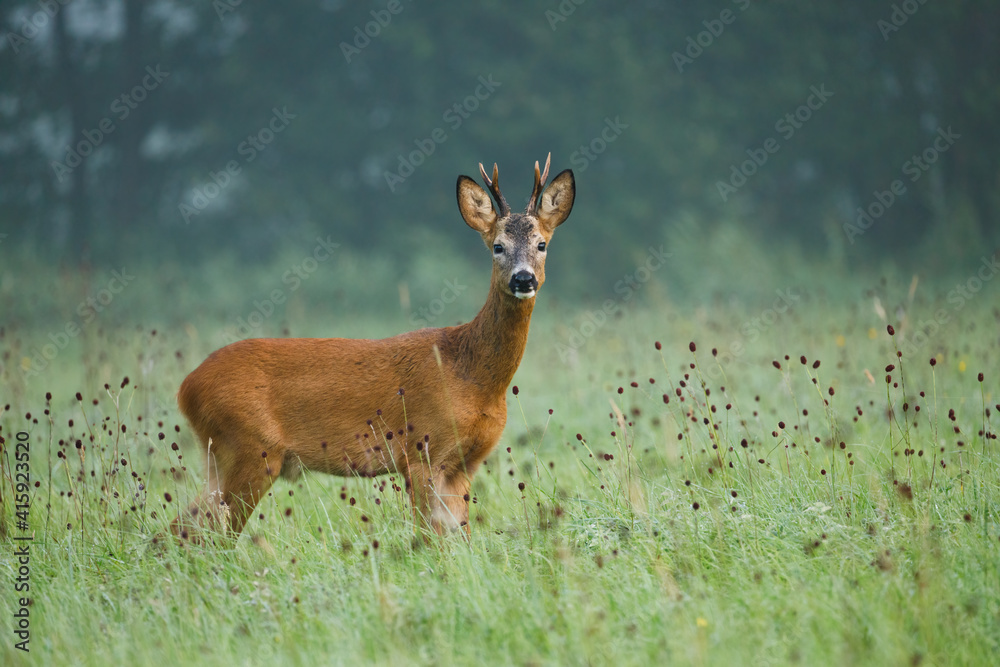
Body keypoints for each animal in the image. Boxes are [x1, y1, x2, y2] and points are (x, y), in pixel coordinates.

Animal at [172, 154, 575, 541]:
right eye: (498, 247)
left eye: (541, 244)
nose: (523, 279)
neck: (471, 375)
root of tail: (186, 387)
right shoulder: (421, 449)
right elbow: (428, 537)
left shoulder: (465, 462)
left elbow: (463, 537)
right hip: (252, 449)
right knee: (213, 532)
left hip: (221, 455)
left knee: (185, 526)